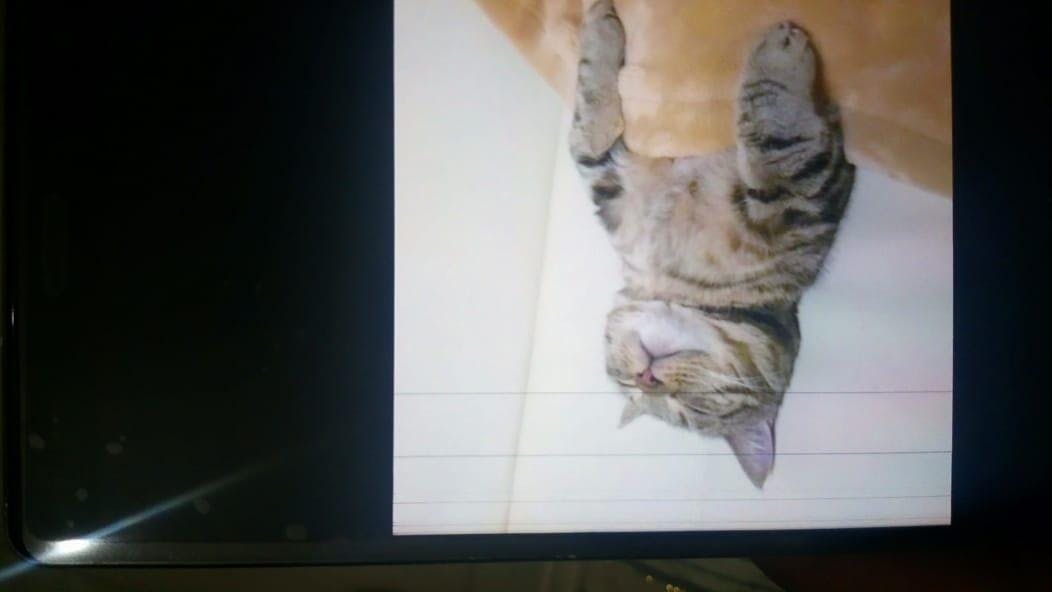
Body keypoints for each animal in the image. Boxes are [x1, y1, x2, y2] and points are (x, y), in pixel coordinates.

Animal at [570, 0, 854, 488]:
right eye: (627, 379)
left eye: (689, 407)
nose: (647, 377)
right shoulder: (614, 188)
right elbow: (590, 121)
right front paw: (599, 29)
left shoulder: (806, 202)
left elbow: (777, 142)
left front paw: (780, 57)